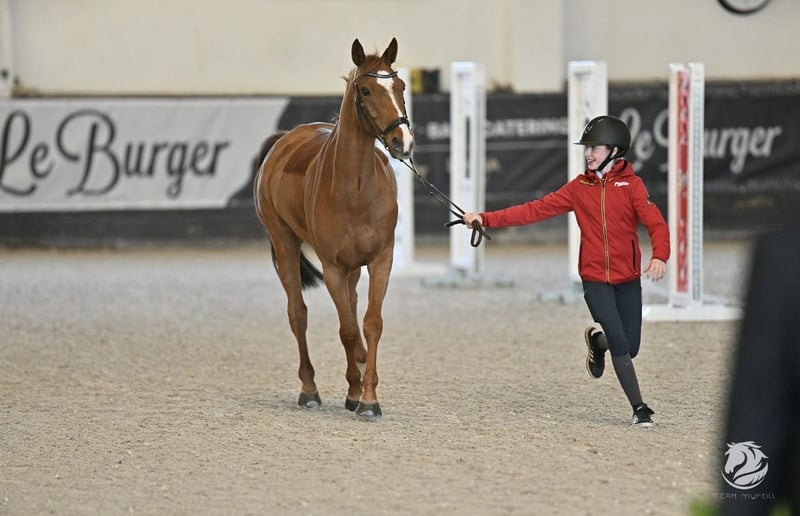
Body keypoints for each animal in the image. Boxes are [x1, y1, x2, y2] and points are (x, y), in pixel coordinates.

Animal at [253, 38, 413, 419]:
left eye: (400, 87)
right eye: (366, 90)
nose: (402, 141)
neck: (354, 189)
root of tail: (285, 139)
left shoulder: (381, 260)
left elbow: (370, 323)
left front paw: (368, 396)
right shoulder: (333, 268)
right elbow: (347, 330)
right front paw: (357, 392)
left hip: (354, 268)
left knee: (353, 309)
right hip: (285, 245)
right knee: (298, 314)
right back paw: (309, 389)